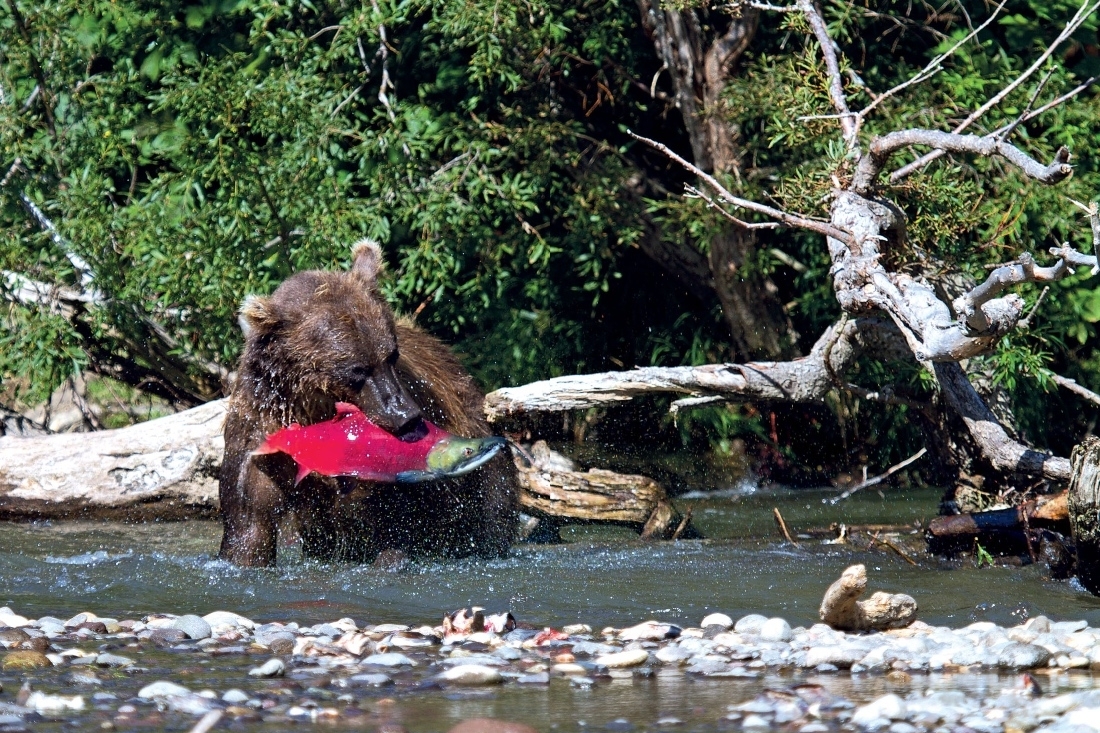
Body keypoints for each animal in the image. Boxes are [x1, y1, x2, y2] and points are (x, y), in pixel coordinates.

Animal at [221, 239, 521, 563]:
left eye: (391, 355)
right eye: (357, 369)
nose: (407, 416)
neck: (313, 411)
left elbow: (390, 524)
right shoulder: (261, 429)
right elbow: (250, 522)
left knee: (489, 514)